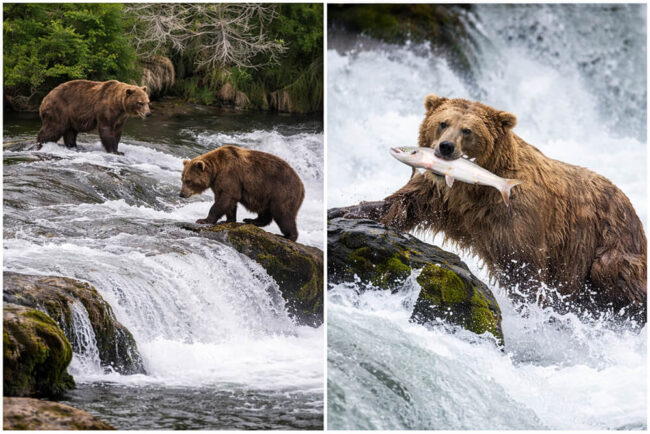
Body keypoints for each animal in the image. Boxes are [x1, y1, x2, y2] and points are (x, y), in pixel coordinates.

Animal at [331, 94, 647, 323]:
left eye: (468, 130)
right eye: (442, 123)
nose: (445, 147)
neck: (475, 187)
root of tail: (631, 206)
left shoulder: (515, 216)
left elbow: (524, 269)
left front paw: (535, 316)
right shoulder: (439, 195)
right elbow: (400, 204)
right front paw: (342, 211)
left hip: (608, 243)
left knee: (615, 276)